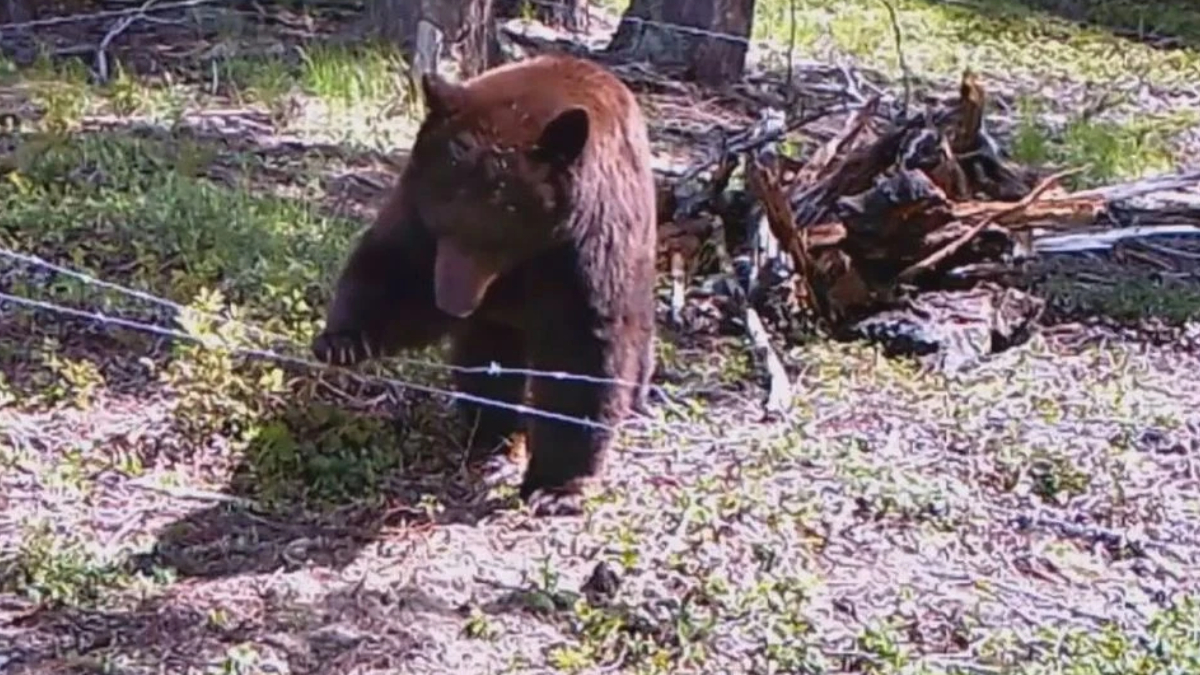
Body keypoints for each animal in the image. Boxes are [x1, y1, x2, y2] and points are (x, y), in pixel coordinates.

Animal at [311, 54, 658, 516]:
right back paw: (490, 430)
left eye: (495, 239)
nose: (452, 303)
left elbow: (583, 351)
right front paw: (342, 340)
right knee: (487, 355)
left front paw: (555, 487)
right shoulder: (416, 213)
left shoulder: (583, 248)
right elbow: (394, 268)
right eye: (442, 225)